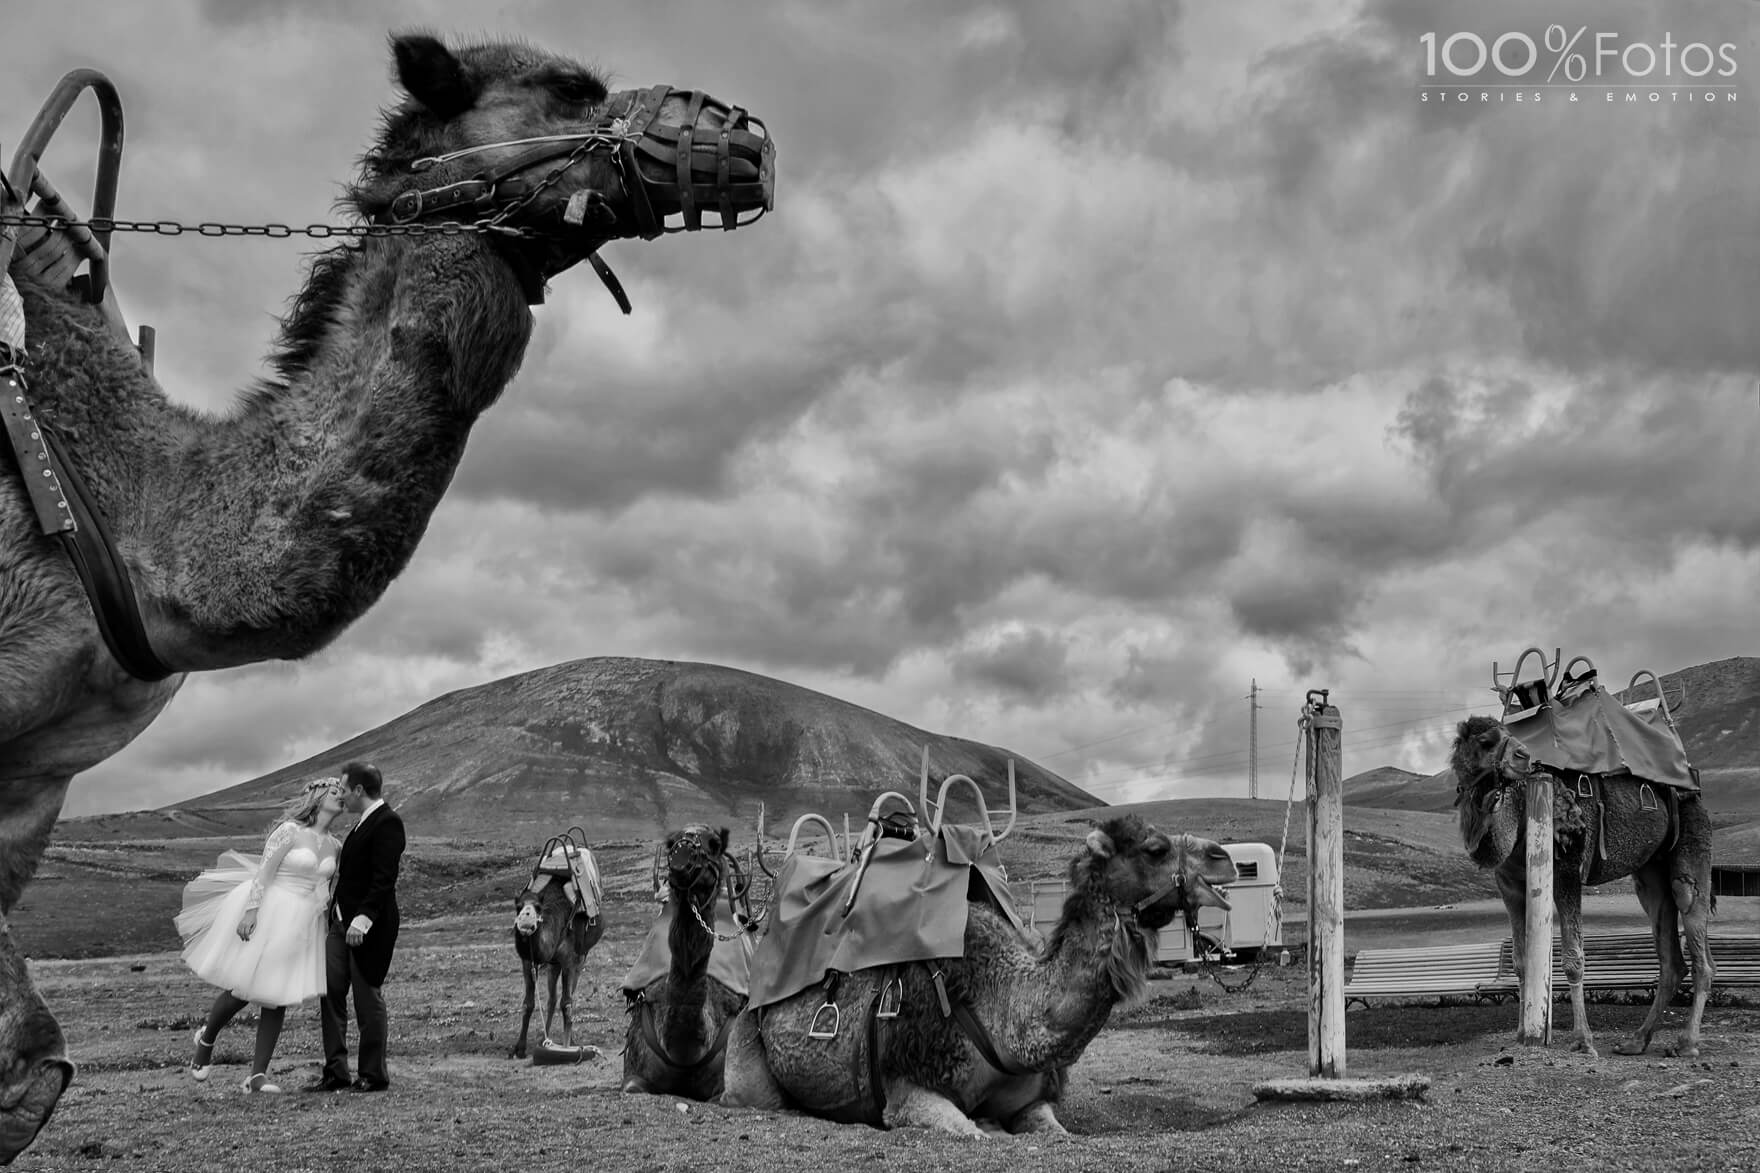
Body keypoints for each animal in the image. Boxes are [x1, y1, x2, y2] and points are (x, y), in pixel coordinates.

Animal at [721, 813, 1246, 1134]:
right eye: (1155, 849)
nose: (1226, 859)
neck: (1001, 1007)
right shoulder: (907, 1087)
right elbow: (971, 1131)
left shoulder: (1032, 1102)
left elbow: (1054, 1131)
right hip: (748, 1050)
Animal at [1450, 708, 1710, 1056]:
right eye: (1485, 740)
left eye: (1508, 734)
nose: (1524, 755)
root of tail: (1690, 784)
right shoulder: (1509, 885)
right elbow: (1521, 962)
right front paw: (1521, 1035)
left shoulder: (1567, 870)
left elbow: (1573, 958)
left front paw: (1583, 1040)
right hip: (1650, 874)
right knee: (1671, 958)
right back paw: (1636, 1040)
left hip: (1691, 842)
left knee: (1698, 946)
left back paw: (1687, 1043)